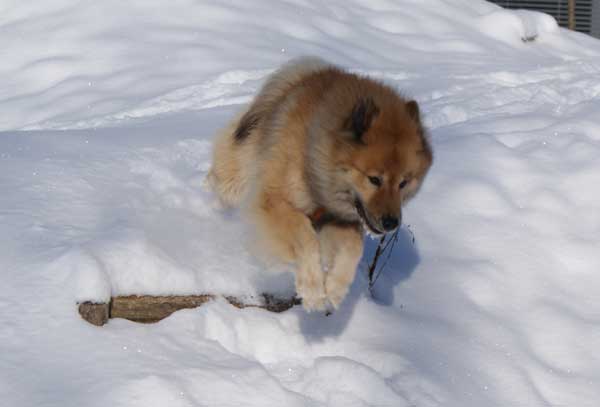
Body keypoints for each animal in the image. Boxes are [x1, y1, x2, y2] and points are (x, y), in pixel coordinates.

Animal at [206, 58, 432, 312]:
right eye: (374, 179)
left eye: (404, 182)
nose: (391, 223)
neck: (314, 154)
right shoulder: (275, 201)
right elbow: (305, 238)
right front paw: (312, 290)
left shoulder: (337, 219)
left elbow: (353, 250)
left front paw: (334, 289)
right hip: (238, 176)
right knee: (222, 182)